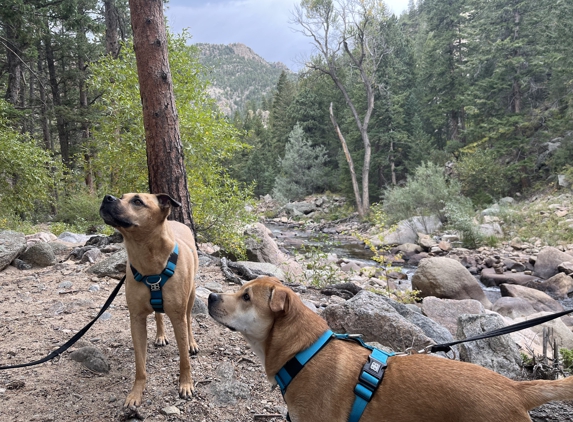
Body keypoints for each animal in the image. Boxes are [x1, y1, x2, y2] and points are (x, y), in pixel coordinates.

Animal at [98, 194, 197, 406]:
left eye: (137, 201)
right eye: (122, 197)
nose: (107, 197)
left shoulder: (178, 318)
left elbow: (184, 359)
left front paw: (186, 384)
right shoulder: (136, 319)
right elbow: (140, 365)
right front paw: (136, 393)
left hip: (191, 295)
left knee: (189, 319)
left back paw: (192, 342)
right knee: (159, 315)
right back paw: (160, 335)